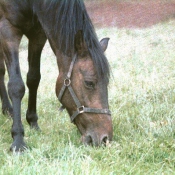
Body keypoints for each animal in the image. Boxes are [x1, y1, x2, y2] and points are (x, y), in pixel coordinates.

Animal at [0, 0, 113, 151]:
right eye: (89, 83)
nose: (105, 138)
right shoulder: (8, 30)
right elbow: (16, 85)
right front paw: (18, 140)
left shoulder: (38, 33)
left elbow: (33, 78)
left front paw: (33, 122)